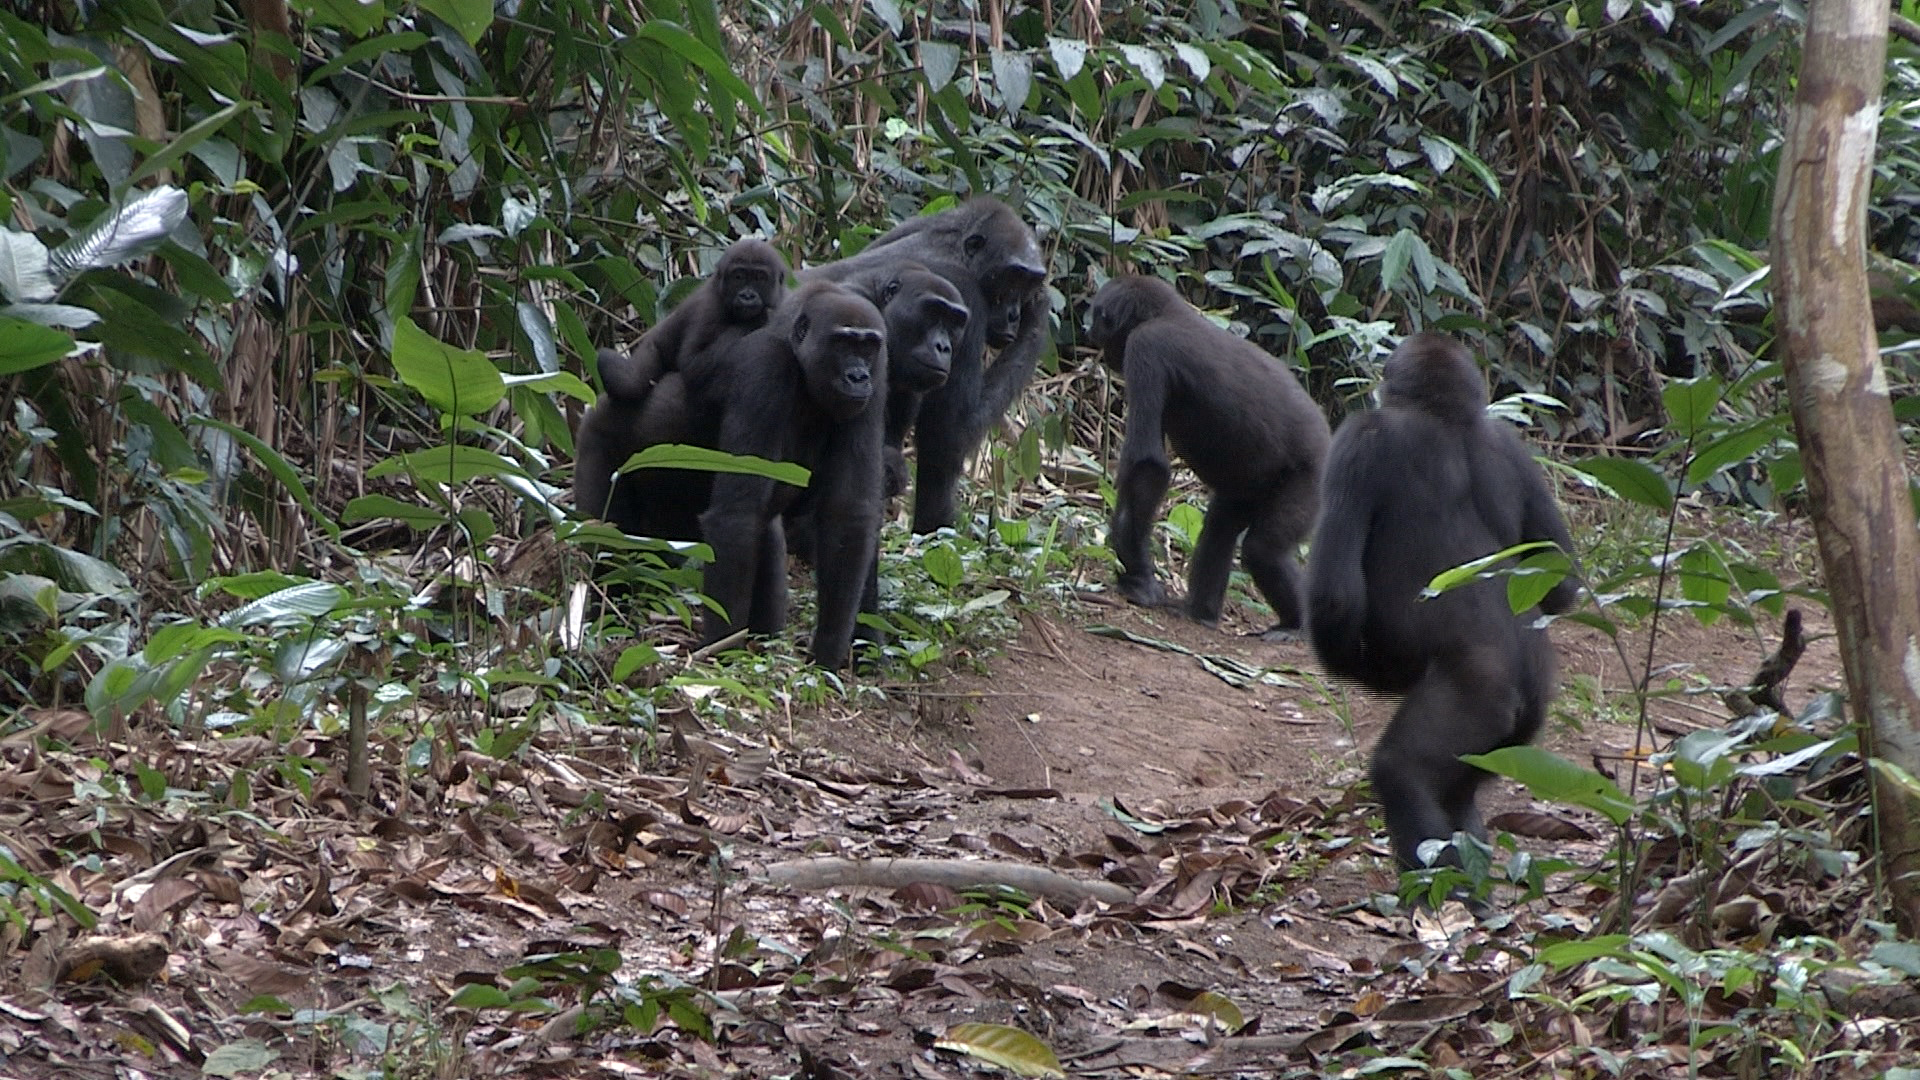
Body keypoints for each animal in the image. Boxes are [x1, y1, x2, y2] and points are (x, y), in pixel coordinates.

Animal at [1090, 272, 1328, 634]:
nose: (1089, 331)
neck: (1167, 313)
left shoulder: (1146, 348)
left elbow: (1148, 466)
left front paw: (1138, 576)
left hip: (1312, 479)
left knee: (1264, 550)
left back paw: (1296, 625)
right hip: (1250, 488)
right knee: (1220, 528)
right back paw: (1200, 611)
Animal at [1305, 332, 1574, 868]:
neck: (1447, 416)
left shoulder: (1359, 439)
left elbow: (1334, 598)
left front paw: (1365, 670)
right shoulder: (1518, 450)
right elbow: (1561, 576)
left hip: (1477, 697)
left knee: (1401, 772)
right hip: (1520, 729)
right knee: (1457, 794)